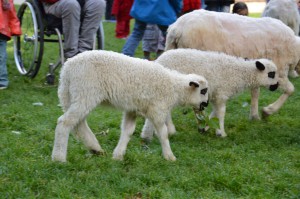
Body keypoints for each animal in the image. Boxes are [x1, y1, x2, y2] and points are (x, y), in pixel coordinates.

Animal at [52, 49, 209, 162]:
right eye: (203, 90)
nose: (205, 104)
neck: (174, 88)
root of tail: (67, 69)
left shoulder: (132, 110)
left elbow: (127, 131)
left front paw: (118, 155)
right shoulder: (158, 110)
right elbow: (163, 133)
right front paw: (170, 156)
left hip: (72, 96)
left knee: (79, 123)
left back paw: (96, 149)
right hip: (85, 93)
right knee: (64, 122)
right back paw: (59, 158)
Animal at [141, 48, 278, 138]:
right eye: (271, 74)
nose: (276, 86)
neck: (239, 73)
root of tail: (159, 60)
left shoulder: (215, 97)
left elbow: (214, 114)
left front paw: (206, 128)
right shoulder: (221, 95)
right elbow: (221, 114)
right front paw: (222, 133)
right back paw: (168, 130)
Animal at [165, 9, 298, 119]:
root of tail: (177, 28)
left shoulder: (258, 72)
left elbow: (255, 93)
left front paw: (254, 116)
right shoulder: (278, 71)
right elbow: (290, 89)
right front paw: (268, 110)